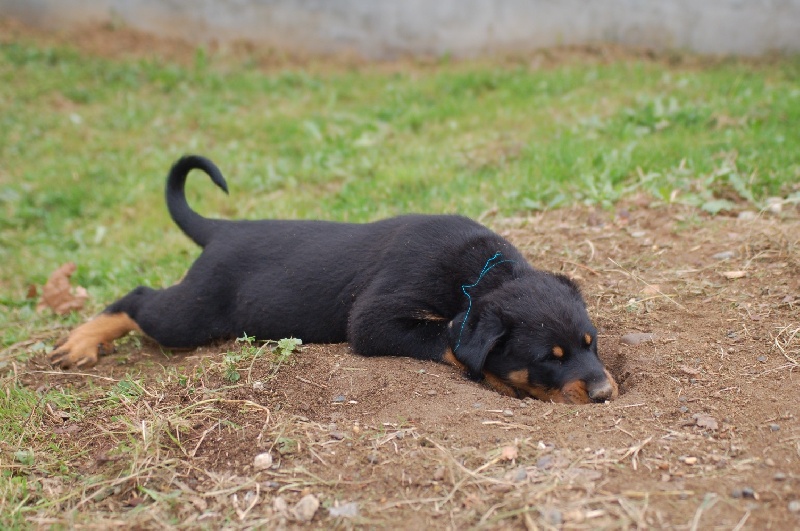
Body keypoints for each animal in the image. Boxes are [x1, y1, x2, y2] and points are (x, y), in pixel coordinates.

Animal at [50, 156, 620, 406]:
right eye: (549, 357)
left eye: (590, 344)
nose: (605, 392)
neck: (479, 272)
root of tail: (224, 230)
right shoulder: (373, 319)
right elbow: (446, 338)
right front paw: (504, 379)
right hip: (191, 315)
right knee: (140, 299)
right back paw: (80, 342)